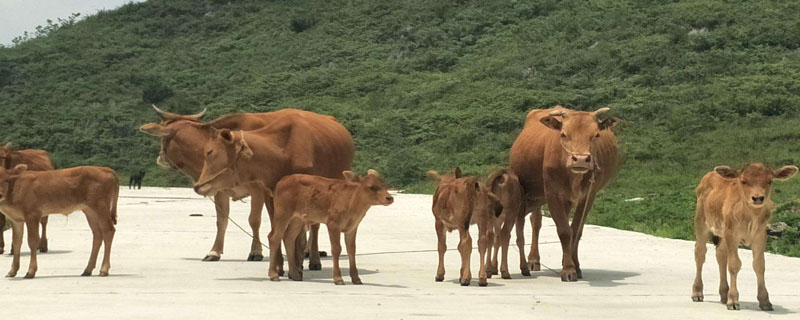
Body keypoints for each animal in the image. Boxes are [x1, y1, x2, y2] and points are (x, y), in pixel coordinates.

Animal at [141, 105, 354, 268]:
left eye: (163, 138)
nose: (159, 158)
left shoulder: (258, 190)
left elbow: (254, 220)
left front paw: (256, 252)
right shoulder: (220, 191)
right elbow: (222, 221)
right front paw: (214, 251)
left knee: (313, 225)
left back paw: (312, 254)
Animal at [506, 106, 620, 282]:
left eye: (596, 135)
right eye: (564, 134)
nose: (580, 159)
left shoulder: (589, 196)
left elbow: (576, 231)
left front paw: (575, 265)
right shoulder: (552, 193)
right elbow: (564, 231)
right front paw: (568, 269)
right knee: (536, 222)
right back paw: (533, 261)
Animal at [692, 162, 796, 310]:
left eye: (770, 181)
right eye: (743, 181)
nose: (758, 198)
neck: (750, 217)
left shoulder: (760, 235)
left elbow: (759, 265)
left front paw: (765, 301)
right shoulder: (732, 234)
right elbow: (734, 264)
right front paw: (733, 300)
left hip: (723, 233)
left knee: (720, 254)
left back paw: (724, 294)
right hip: (701, 221)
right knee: (700, 253)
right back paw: (697, 292)